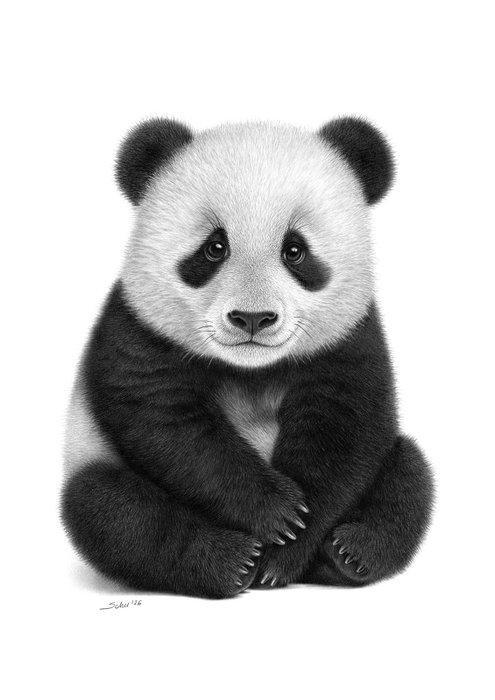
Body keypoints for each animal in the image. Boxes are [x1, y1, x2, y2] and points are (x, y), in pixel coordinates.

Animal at [62, 116, 434, 598]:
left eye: (295, 249)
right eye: (214, 247)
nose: (252, 318)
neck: (251, 370)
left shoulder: (350, 337)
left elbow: (343, 428)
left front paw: (286, 551)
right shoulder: (138, 328)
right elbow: (168, 421)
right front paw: (277, 513)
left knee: (409, 476)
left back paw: (349, 553)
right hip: (94, 457)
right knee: (113, 512)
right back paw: (229, 561)